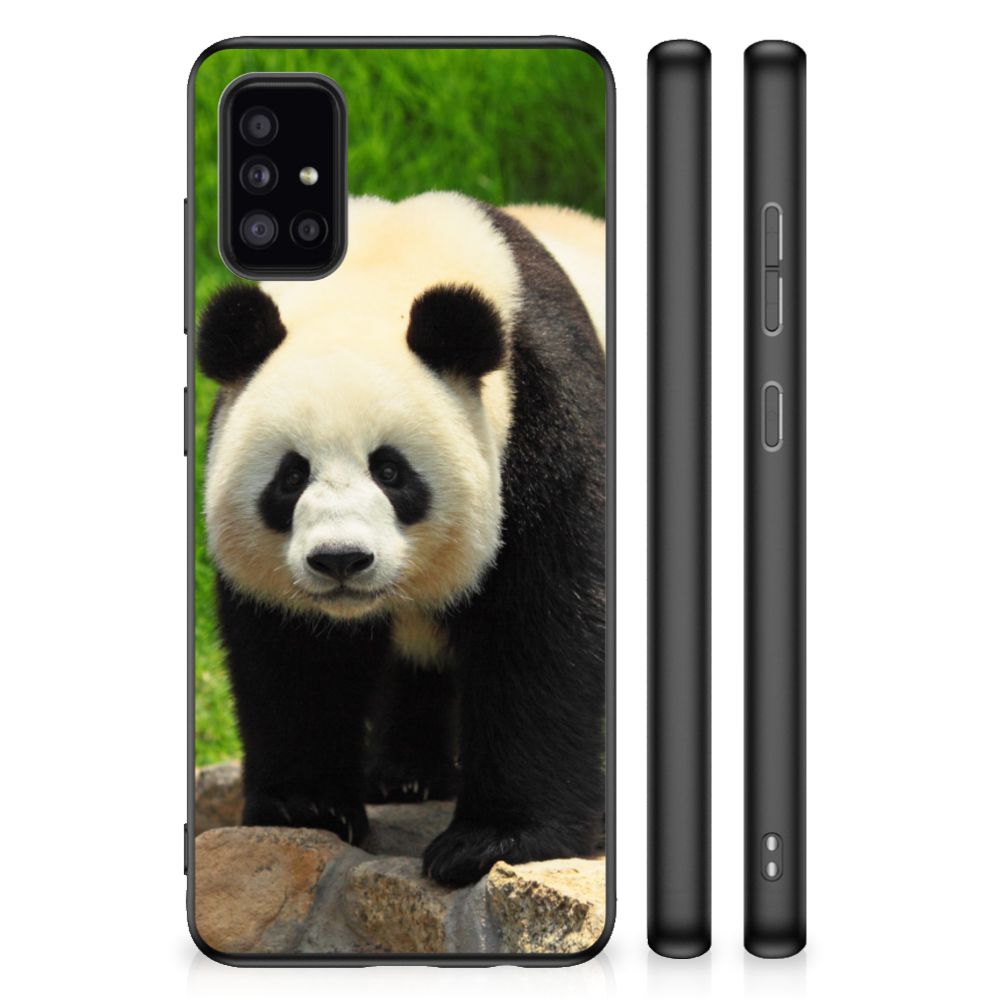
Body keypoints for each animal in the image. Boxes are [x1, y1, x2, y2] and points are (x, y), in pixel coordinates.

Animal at [198, 192, 606, 887]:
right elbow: (292, 653)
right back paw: (406, 776)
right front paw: (307, 807)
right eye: (290, 476)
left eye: (390, 471)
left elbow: (546, 627)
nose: (340, 560)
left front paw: (492, 840)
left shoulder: (546, 417)